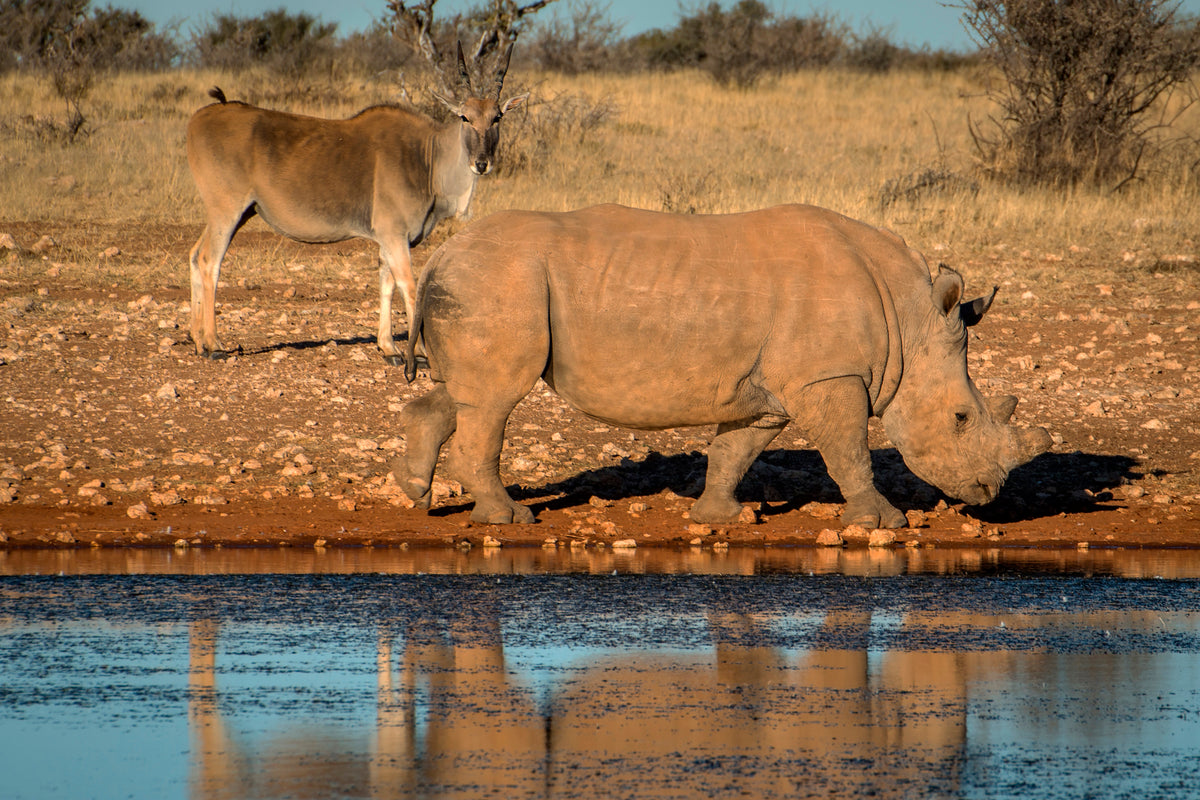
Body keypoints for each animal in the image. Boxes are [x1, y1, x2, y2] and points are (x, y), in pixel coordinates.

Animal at [394, 203, 1051, 528]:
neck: (909, 320)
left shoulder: (774, 390)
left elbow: (737, 449)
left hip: (484, 283)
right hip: (500, 280)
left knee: (467, 392)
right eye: (961, 418)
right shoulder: (830, 377)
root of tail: (439, 255)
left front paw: (723, 517)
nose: (989, 492)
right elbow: (850, 451)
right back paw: (510, 520)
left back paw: (417, 494)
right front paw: (885, 524)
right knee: (496, 398)